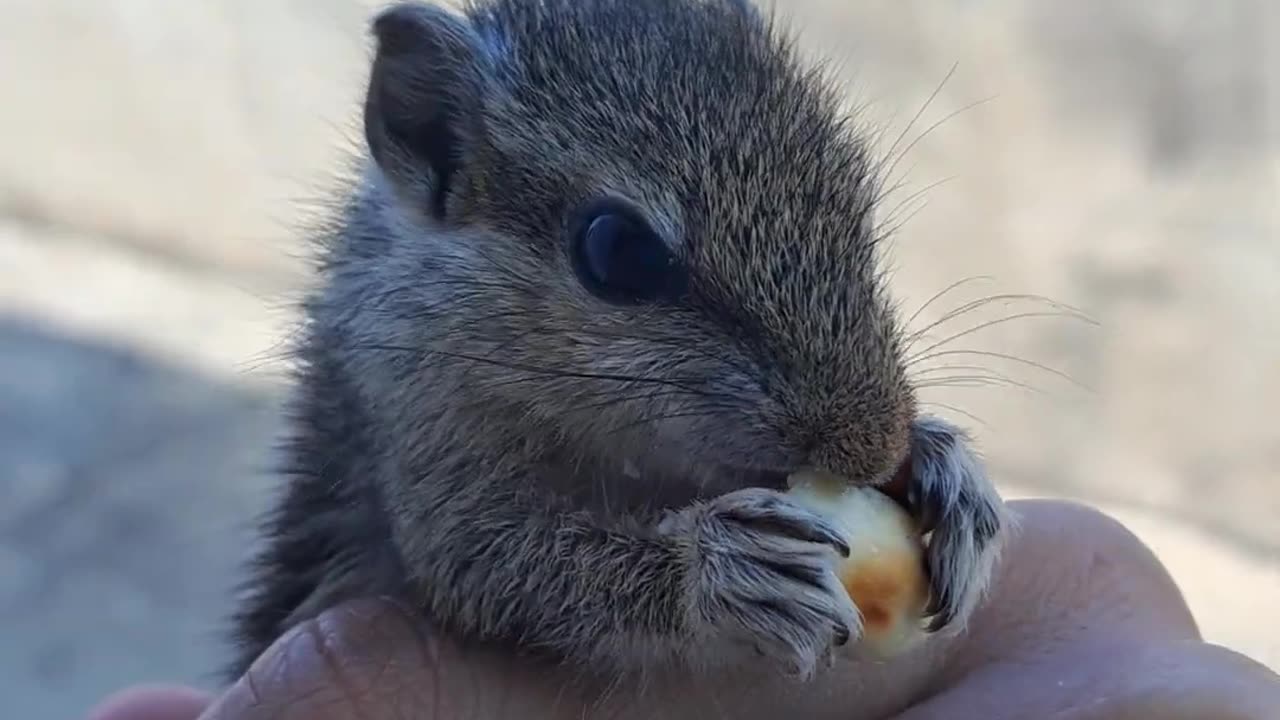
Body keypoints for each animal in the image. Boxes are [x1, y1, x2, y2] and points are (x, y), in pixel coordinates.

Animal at [227, 0, 1008, 692]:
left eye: (854, 194)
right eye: (618, 250)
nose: (878, 449)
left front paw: (948, 473)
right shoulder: (415, 443)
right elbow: (493, 564)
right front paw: (718, 571)